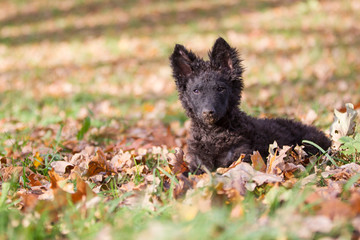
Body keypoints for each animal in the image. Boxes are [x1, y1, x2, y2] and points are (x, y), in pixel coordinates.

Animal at [170, 37, 330, 172]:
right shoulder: (197, 163)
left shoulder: (242, 157)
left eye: (220, 89)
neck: (213, 134)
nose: (208, 112)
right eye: (196, 91)